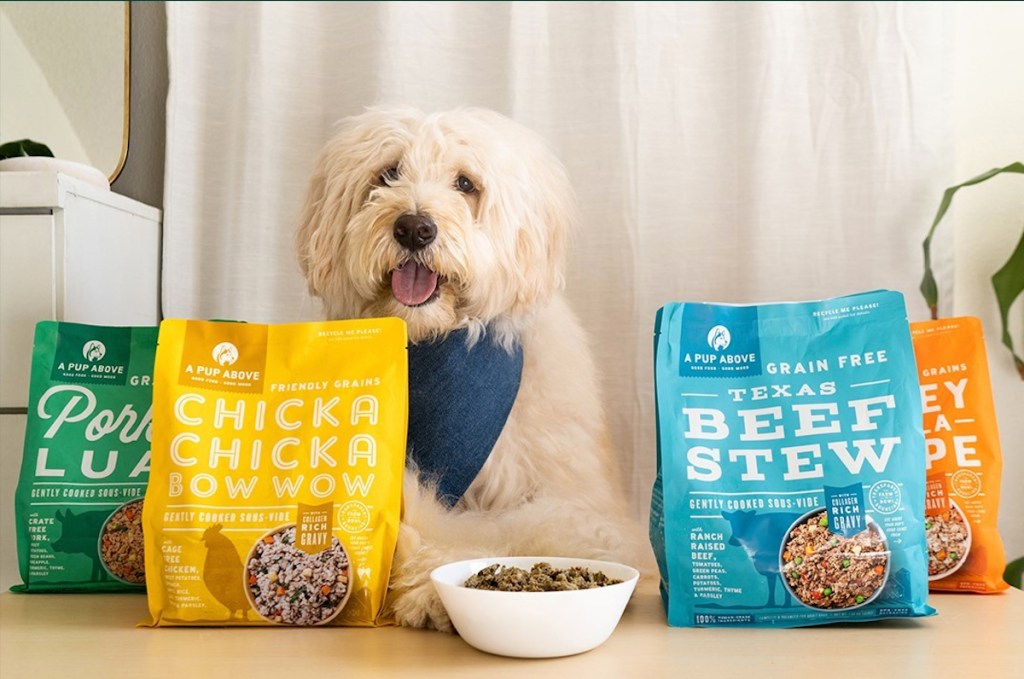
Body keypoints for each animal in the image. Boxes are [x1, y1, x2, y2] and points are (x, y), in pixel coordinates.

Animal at [296, 106, 647, 630]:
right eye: (388, 173)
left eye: (465, 183)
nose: (414, 228)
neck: (434, 344)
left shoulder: (571, 497)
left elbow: (526, 528)